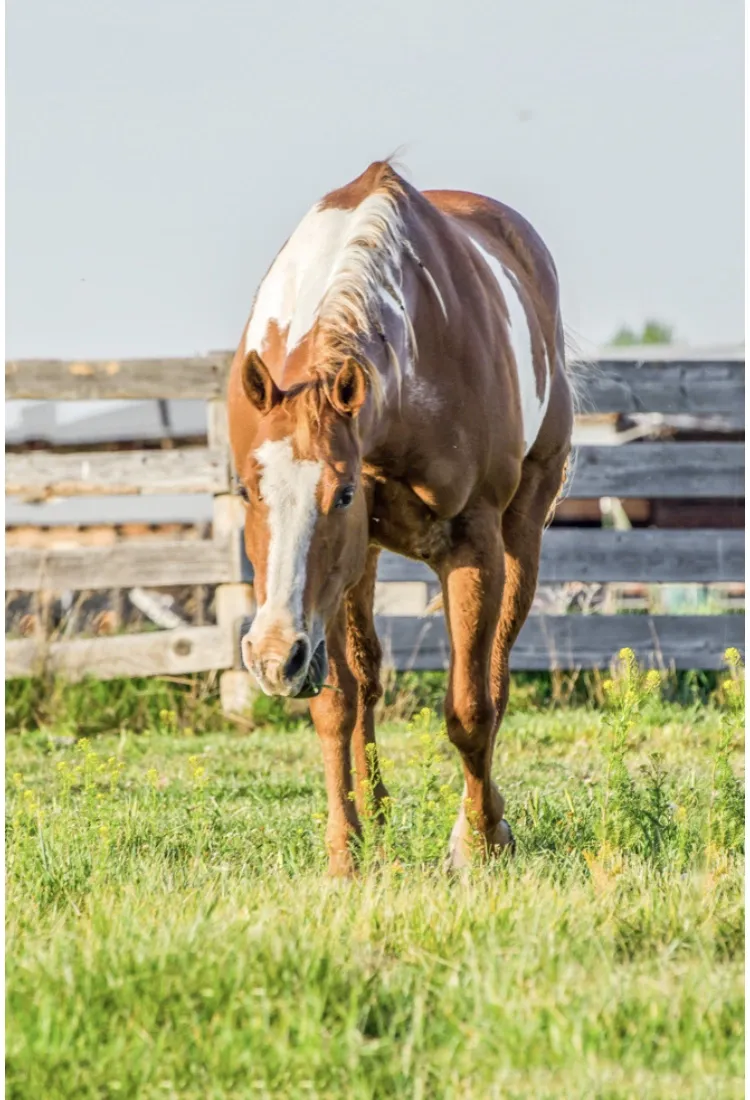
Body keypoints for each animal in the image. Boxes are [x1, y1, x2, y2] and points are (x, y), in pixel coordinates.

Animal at [227, 159, 571, 875]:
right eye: (247, 491)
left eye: (342, 494)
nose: (272, 656)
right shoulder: (330, 580)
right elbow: (336, 704)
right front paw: (344, 855)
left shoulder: (472, 545)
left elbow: (470, 708)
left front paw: (477, 844)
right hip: (358, 567)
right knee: (364, 682)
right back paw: (378, 817)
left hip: (523, 529)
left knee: (496, 672)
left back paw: (484, 822)